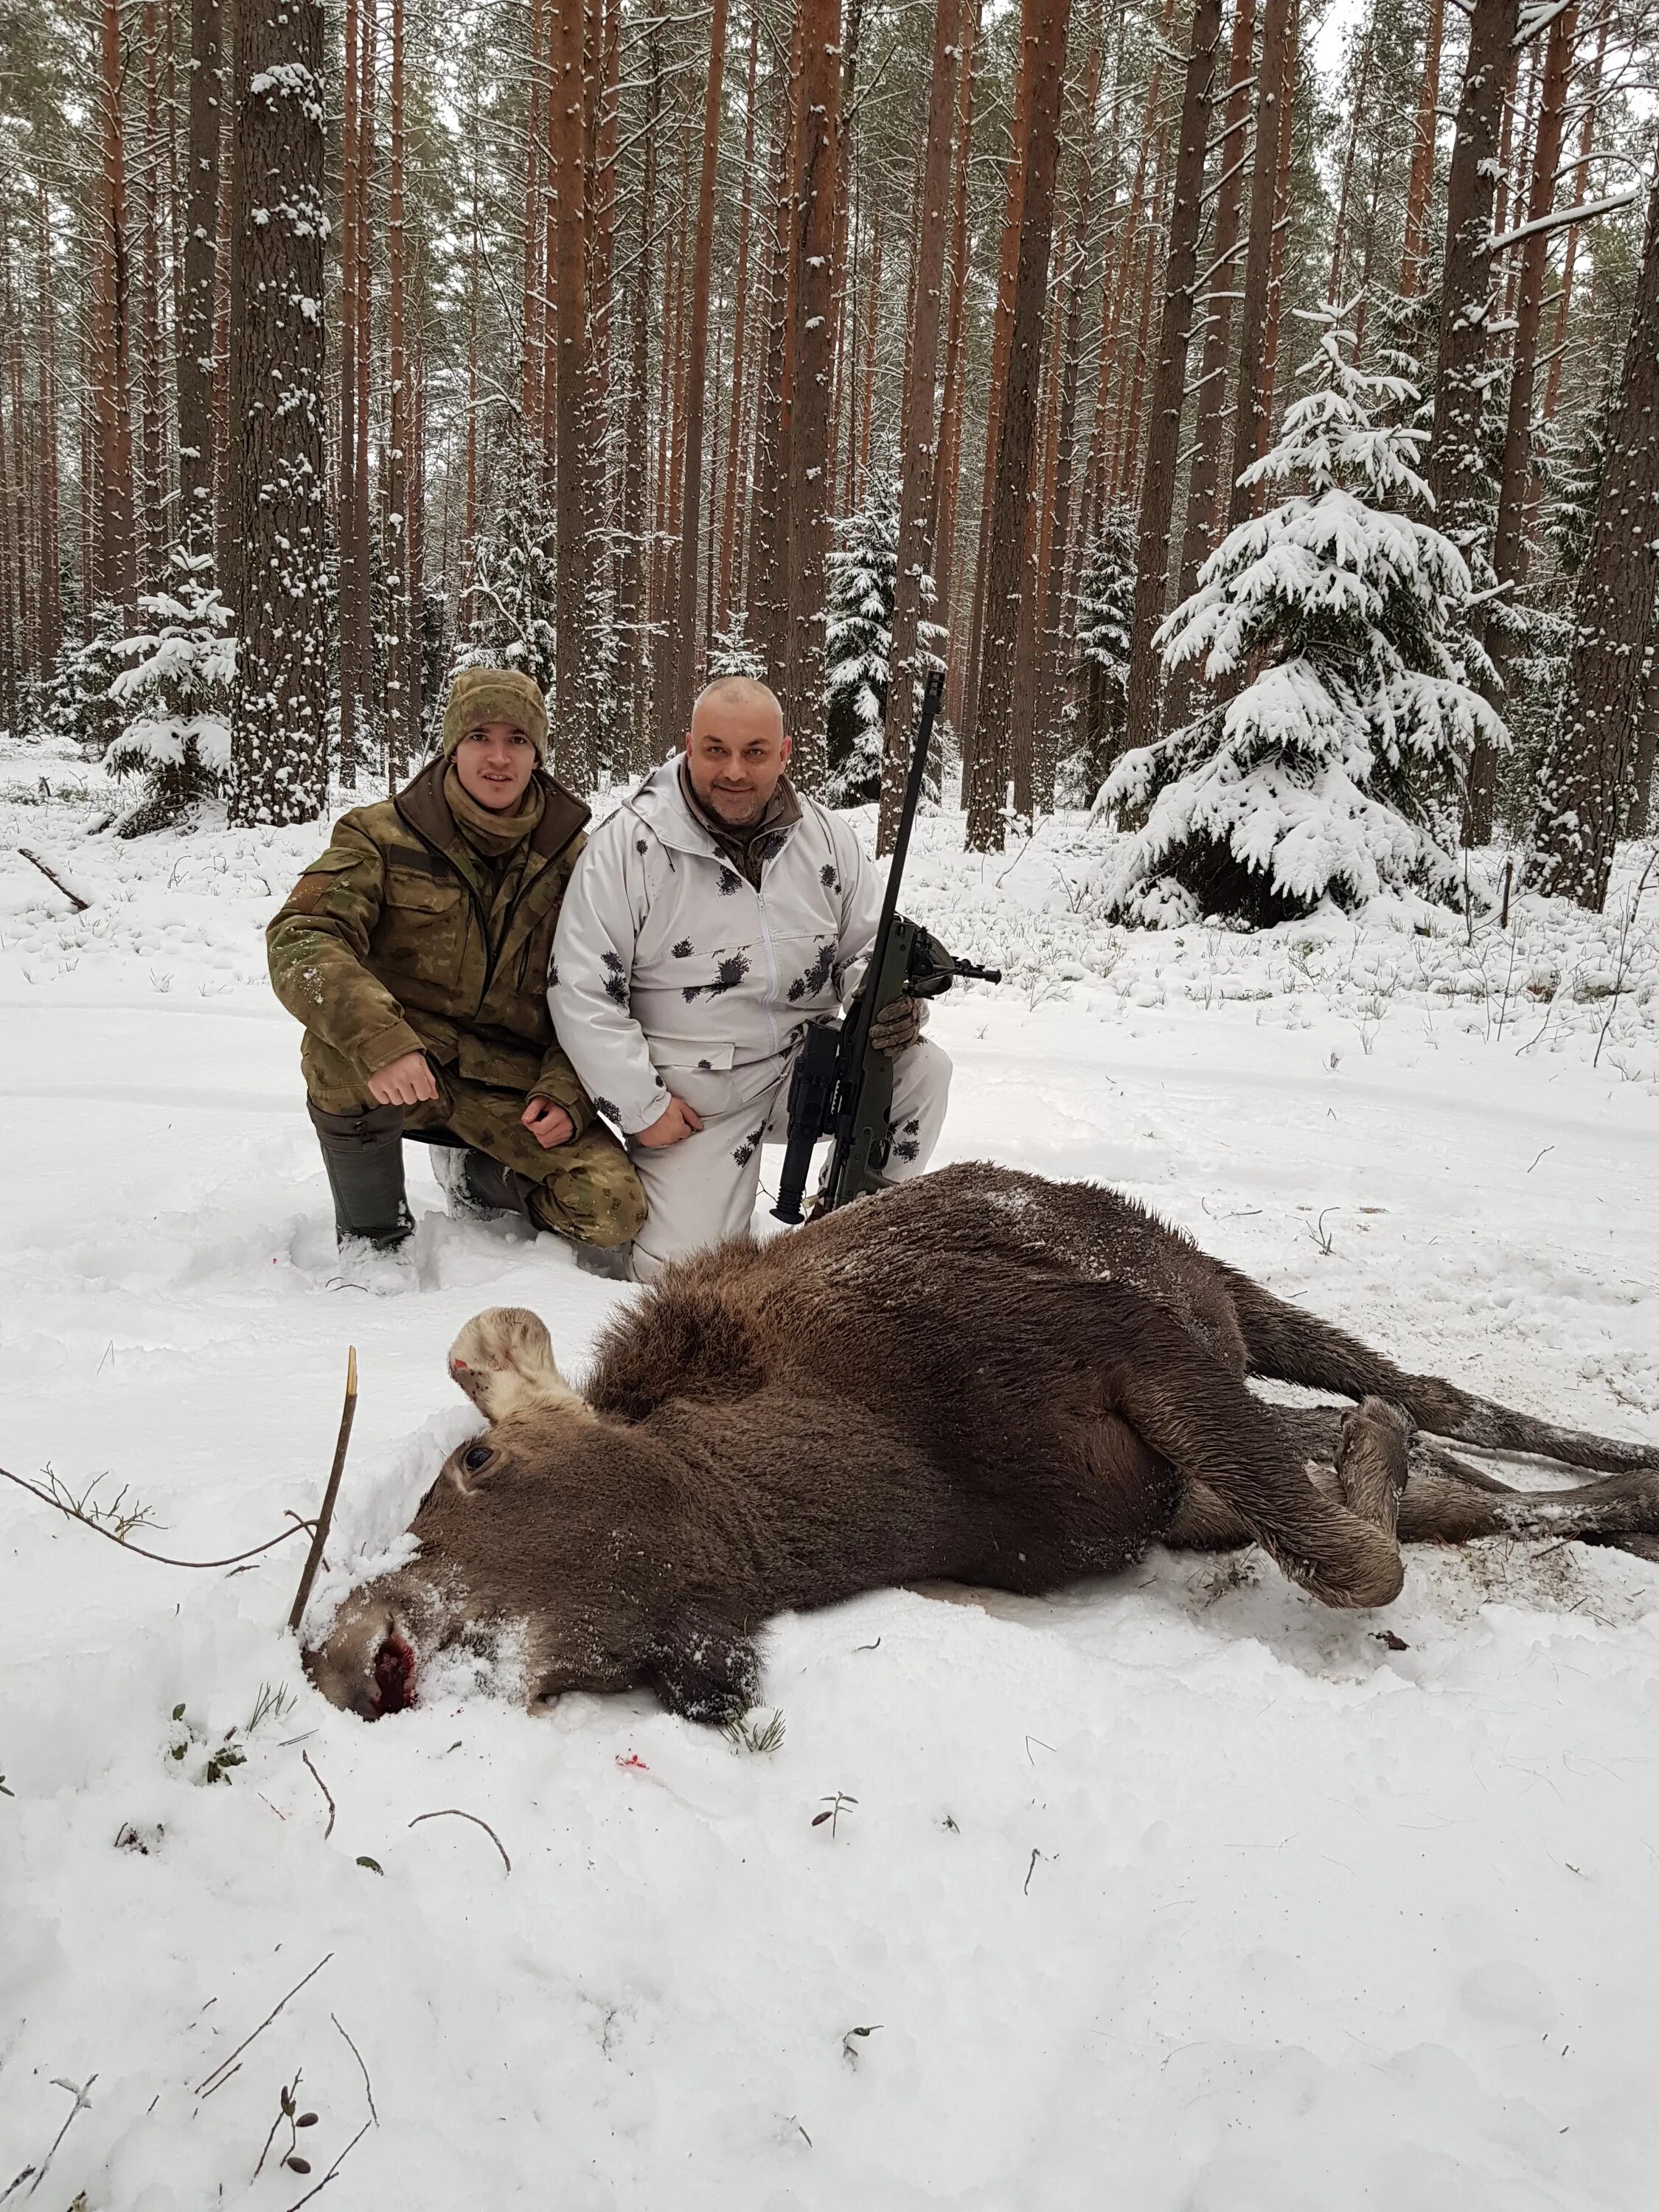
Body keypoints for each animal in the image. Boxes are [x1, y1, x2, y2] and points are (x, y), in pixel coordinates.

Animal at [310, 1168, 1659, 1717]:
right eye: (586, 1675)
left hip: (1220, 1302)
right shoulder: (1162, 1489)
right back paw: (1631, 1507)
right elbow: (1364, 1541)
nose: (352, 1658)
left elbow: (1356, 1555)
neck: (925, 1472)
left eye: (472, 1466)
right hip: (1212, 1443)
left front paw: (1384, 1444)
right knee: (1445, 1468)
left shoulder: (1115, 1337)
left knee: (1430, 1392)